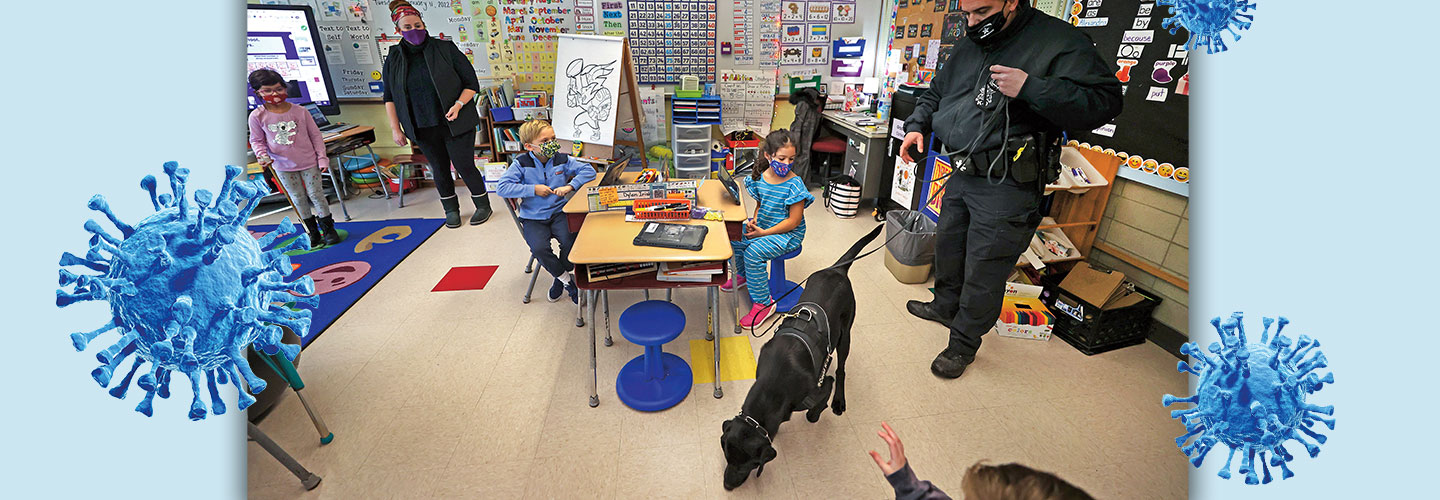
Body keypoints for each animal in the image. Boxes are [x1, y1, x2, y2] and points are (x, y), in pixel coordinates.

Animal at [717, 224, 881, 492]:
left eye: (750, 464)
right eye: (727, 456)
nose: (727, 486)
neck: (772, 386)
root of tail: (836, 269)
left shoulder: (815, 390)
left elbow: (819, 399)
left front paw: (815, 414)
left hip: (846, 333)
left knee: (841, 370)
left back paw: (839, 400)